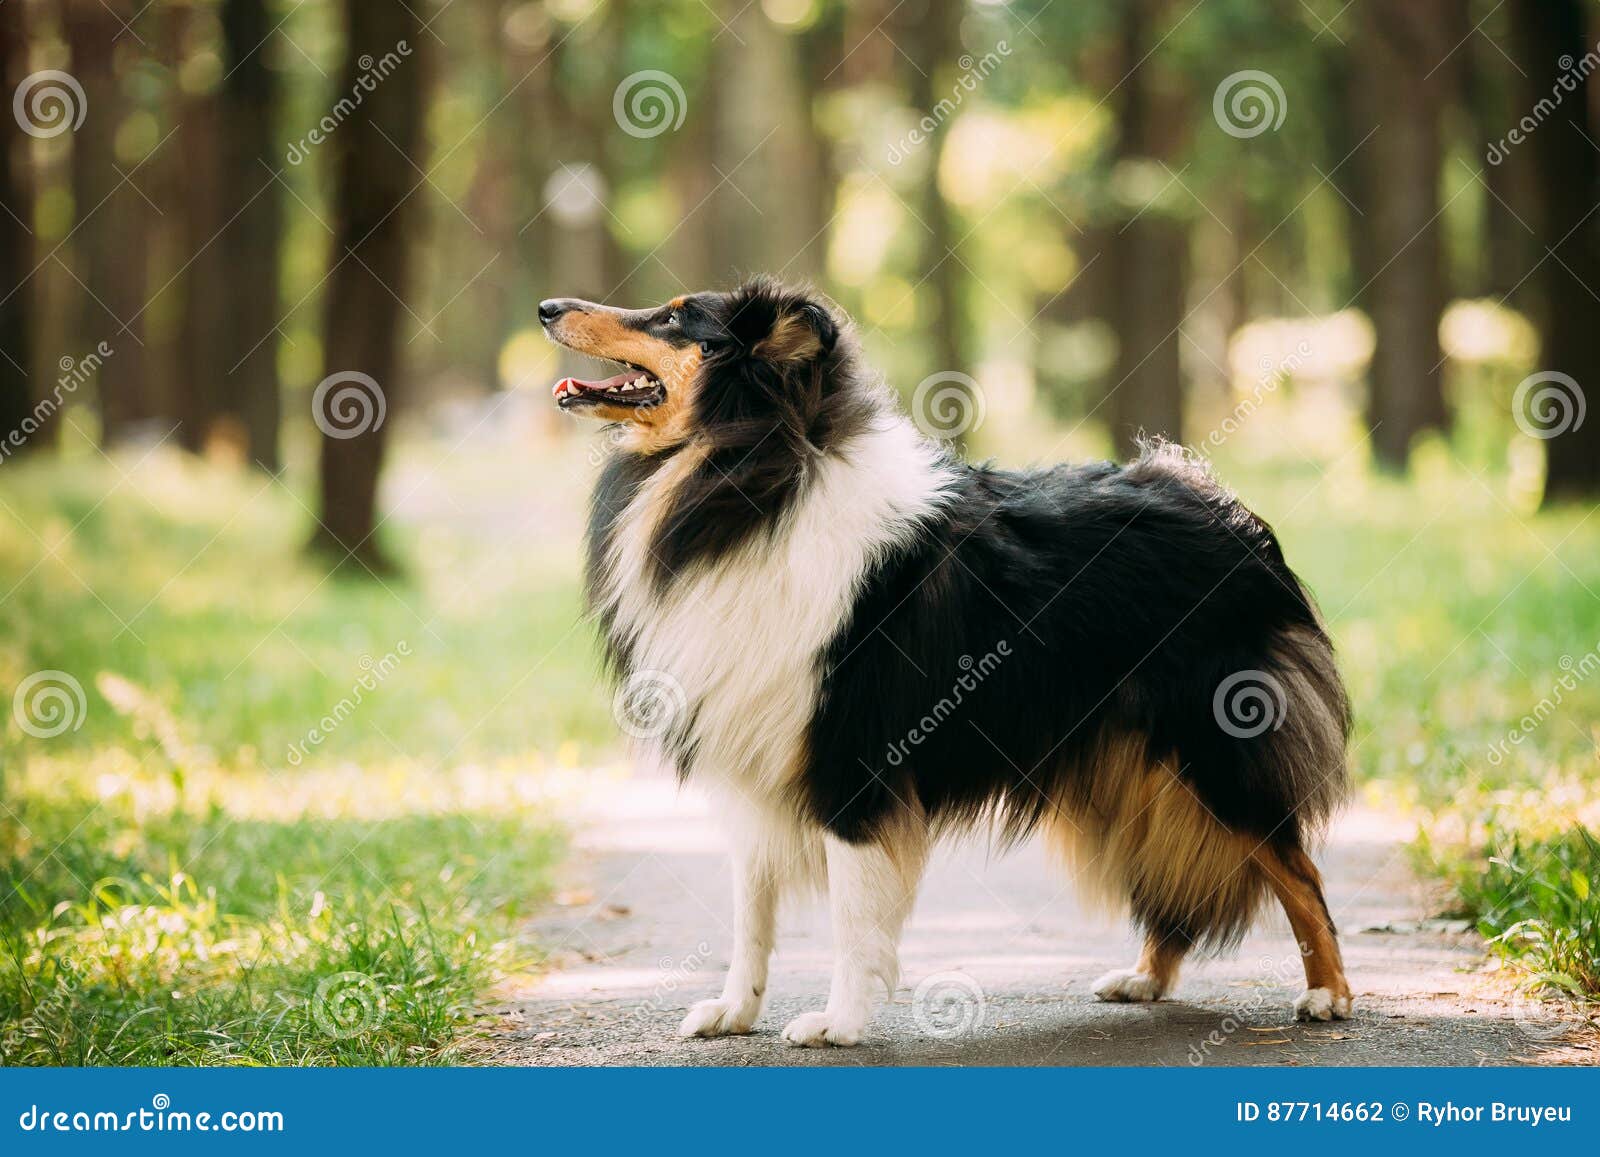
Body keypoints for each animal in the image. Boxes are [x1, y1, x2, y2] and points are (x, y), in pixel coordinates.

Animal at [537, 280, 1350, 1049]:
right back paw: (1146, 978)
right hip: (1130, 766)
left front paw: (839, 1023)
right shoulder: (757, 764)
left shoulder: (852, 760)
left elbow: (852, 911)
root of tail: (1225, 507)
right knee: (1171, 874)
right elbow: (750, 914)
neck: (751, 479)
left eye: (678, 318)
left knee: (1297, 867)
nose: (546, 308)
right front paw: (736, 1012)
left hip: (1212, 743)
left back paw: (1329, 995)